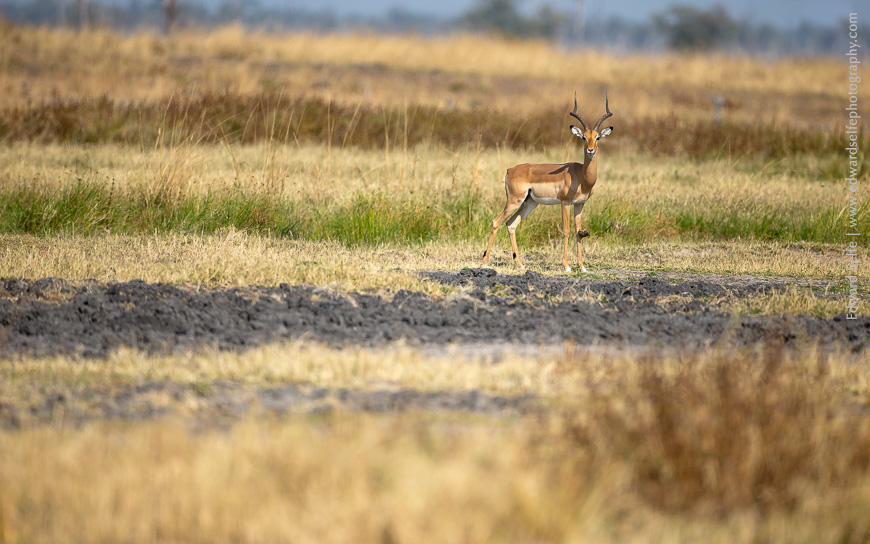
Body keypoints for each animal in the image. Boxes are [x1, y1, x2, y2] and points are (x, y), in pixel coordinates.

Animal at [482, 92, 613, 273]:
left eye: (597, 137)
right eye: (584, 137)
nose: (590, 150)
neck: (581, 176)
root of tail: (510, 170)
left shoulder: (580, 204)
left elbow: (578, 231)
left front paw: (582, 267)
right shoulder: (565, 202)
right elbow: (566, 231)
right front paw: (566, 266)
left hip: (529, 203)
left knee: (511, 224)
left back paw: (520, 264)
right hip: (514, 201)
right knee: (496, 222)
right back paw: (485, 262)